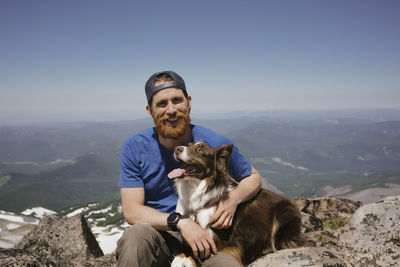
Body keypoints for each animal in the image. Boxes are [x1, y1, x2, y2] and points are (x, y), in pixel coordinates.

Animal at [168, 141, 304, 266]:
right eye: (189, 144)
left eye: (200, 149)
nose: (177, 149)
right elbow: (183, 250)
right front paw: (179, 259)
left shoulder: (222, 243)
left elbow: (195, 252)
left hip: (283, 214)